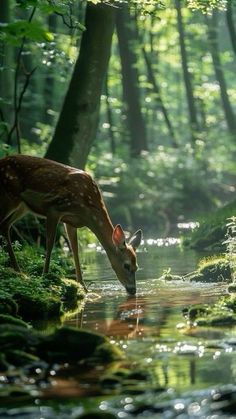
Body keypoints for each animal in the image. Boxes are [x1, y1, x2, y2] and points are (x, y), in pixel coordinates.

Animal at [0, 154, 142, 296]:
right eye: (126, 265)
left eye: (136, 267)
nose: (133, 290)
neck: (87, 211)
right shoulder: (53, 209)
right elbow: (50, 244)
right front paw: (45, 277)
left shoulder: (71, 222)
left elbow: (75, 249)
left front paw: (84, 287)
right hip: (9, 195)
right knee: (3, 222)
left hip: (22, 206)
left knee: (6, 224)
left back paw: (18, 270)